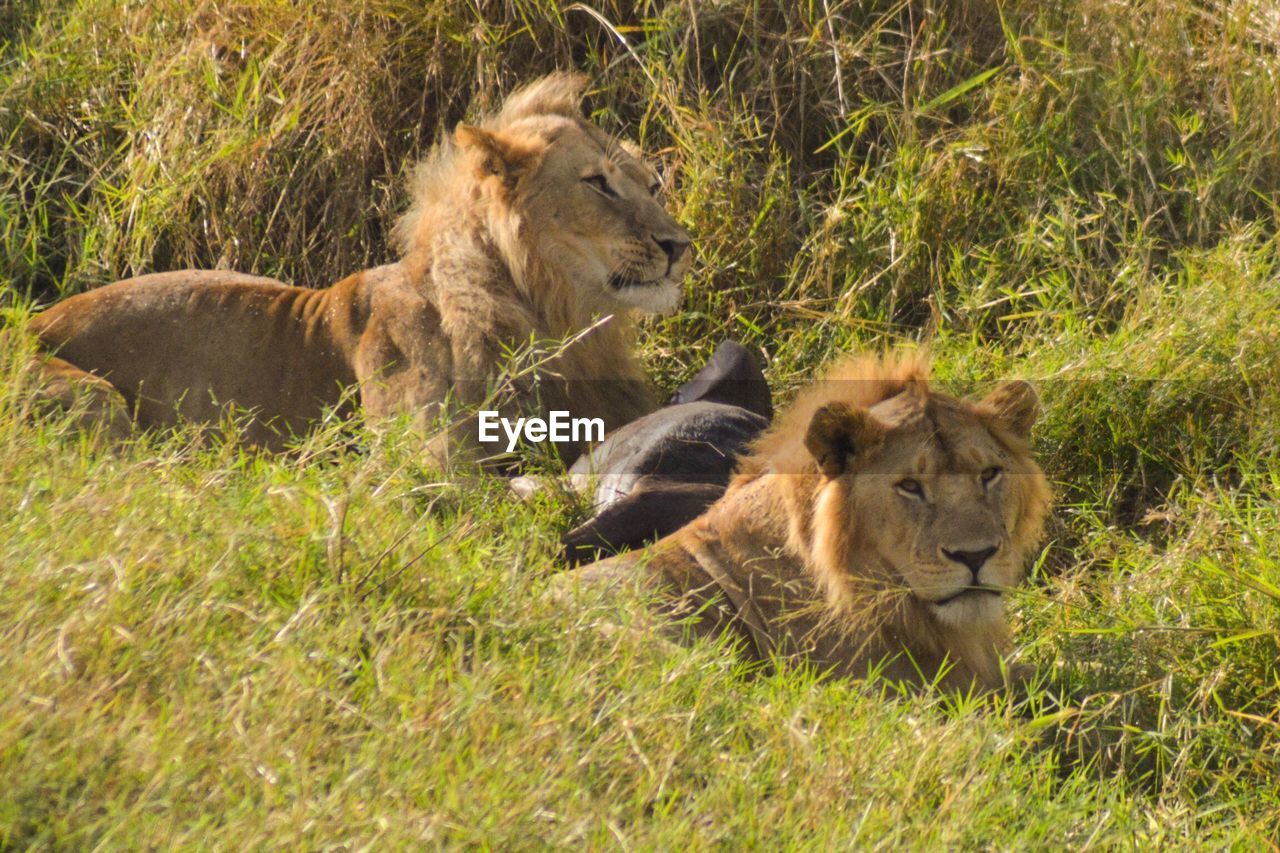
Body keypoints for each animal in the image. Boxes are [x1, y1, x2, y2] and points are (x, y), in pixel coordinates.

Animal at [27, 72, 691, 458]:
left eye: (649, 182)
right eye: (598, 184)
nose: (680, 245)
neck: (558, 313)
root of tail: (33, 321)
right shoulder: (421, 465)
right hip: (91, 400)